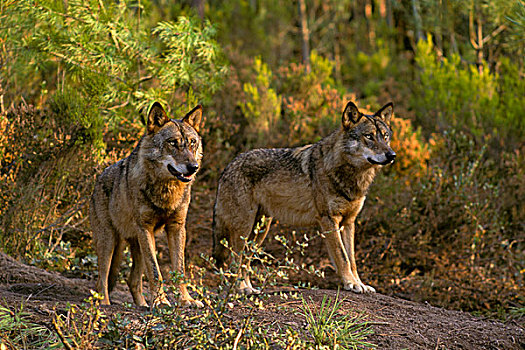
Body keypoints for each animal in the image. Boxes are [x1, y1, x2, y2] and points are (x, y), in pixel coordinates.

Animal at [89, 102, 204, 308]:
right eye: (173, 143)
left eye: (192, 142)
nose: (193, 167)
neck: (167, 190)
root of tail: (98, 179)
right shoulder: (145, 228)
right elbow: (155, 272)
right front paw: (160, 301)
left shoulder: (177, 228)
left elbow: (180, 270)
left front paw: (186, 300)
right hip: (109, 241)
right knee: (101, 278)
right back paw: (105, 303)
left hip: (139, 244)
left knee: (132, 280)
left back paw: (142, 304)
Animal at [211, 102, 396, 296]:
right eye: (369, 136)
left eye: (385, 137)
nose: (392, 155)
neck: (351, 175)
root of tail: (227, 167)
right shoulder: (328, 220)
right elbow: (342, 256)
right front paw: (351, 284)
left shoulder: (349, 222)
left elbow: (351, 259)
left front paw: (359, 283)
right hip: (245, 229)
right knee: (235, 259)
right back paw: (239, 289)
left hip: (260, 231)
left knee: (245, 262)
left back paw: (248, 288)